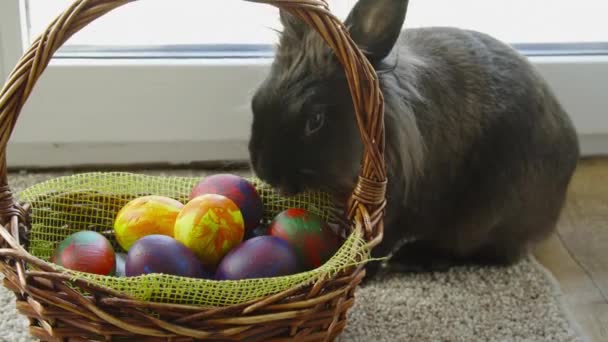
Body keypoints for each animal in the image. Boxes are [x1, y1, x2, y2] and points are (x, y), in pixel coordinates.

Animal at [247, 0, 580, 280]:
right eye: (257, 100)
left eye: (315, 120)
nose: (266, 171)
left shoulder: (393, 213)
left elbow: (376, 246)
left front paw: (361, 276)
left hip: (483, 214)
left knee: (475, 253)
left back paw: (412, 258)